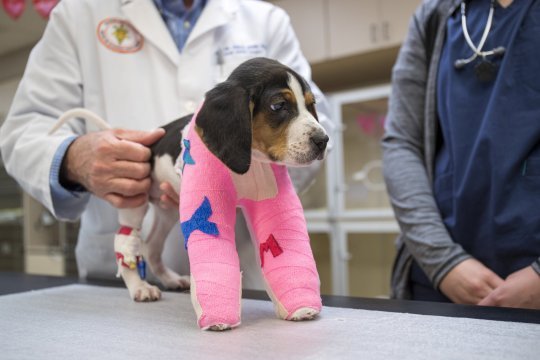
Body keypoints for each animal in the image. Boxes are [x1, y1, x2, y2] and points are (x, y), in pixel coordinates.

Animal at [51, 57, 330, 330]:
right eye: (278, 105)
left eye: (311, 105)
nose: (323, 140)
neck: (253, 160)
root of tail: (146, 143)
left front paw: (298, 305)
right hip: (134, 201)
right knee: (125, 243)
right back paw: (140, 287)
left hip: (168, 210)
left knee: (152, 247)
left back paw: (172, 280)